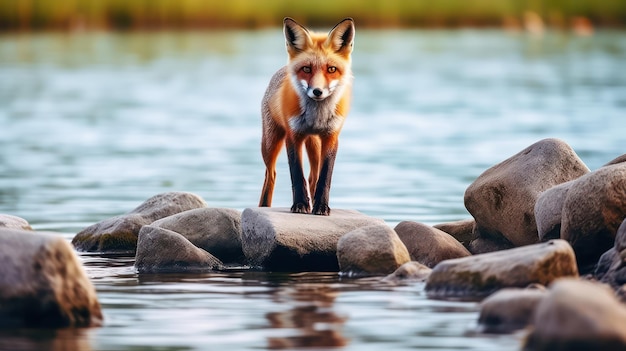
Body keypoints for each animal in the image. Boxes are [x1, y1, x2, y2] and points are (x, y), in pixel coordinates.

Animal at [258, 17, 356, 216]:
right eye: (306, 69)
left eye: (331, 69)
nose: (317, 91)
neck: (316, 117)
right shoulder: (293, 136)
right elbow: (297, 175)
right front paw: (300, 205)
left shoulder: (331, 137)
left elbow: (324, 178)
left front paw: (321, 207)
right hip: (270, 143)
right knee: (270, 175)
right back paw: (264, 206)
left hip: (315, 144)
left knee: (313, 177)